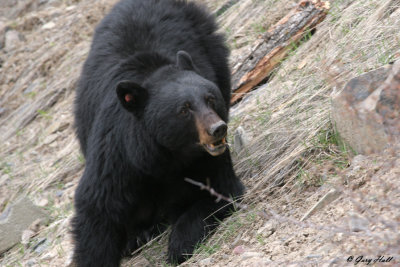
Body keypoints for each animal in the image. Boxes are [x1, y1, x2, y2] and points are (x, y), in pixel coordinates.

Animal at [73, 1, 245, 266]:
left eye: (210, 98)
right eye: (184, 109)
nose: (218, 129)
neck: (164, 154)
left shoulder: (206, 158)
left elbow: (221, 190)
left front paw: (179, 244)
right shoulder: (117, 154)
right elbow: (97, 210)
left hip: (214, 50)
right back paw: (139, 233)